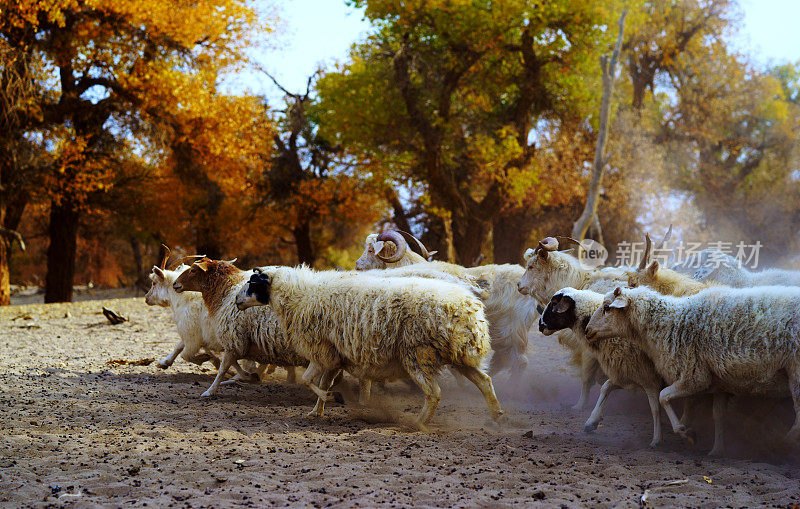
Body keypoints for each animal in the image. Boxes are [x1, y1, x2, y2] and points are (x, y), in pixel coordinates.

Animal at [234, 266, 504, 428]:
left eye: (254, 283)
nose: (237, 301)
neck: (300, 296)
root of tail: (469, 307)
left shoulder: (320, 351)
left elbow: (309, 381)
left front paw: (334, 398)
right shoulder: (333, 355)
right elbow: (322, 383)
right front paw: (317, 411)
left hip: (418, 354)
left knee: (434, 393)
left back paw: (417, 423)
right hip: (459, 354)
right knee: (484, 381)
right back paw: (497, 416)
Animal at [536, 288, 668, 446]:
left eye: (554, 303)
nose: (540, 325)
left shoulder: (647, 375)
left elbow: (654, 406)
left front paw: (657, 439)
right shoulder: (625, 370)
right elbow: (605, 387)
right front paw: (592, 421)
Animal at [584, 286, 796, 448]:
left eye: (606, 308)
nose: (587, 330)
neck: (669, 324)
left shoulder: (693, 377)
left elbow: (661, 400)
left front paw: (683, 432)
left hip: (796, 372)